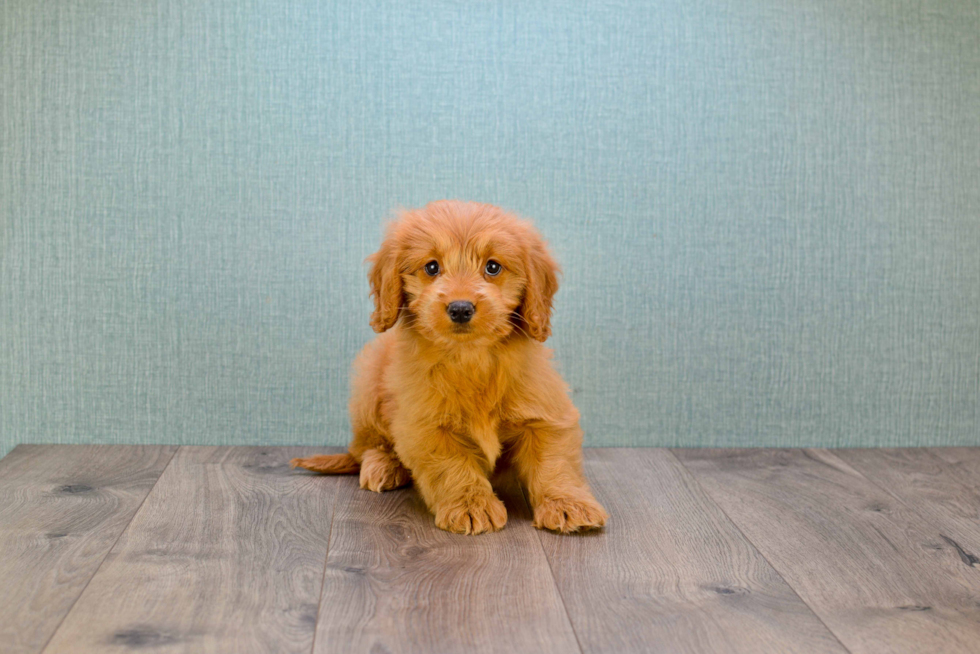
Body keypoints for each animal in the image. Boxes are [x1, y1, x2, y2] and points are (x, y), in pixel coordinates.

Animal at [294, 202, 608, 536]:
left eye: (493, 267)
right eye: (432, 267)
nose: (460, 308)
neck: (470, 357)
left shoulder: (547, 413)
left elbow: (554, 463)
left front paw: (568, 504)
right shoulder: (424, 425)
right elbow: (452, 466)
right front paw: (471, 505)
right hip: (368, 385)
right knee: (365, 445)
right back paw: (384, 465)